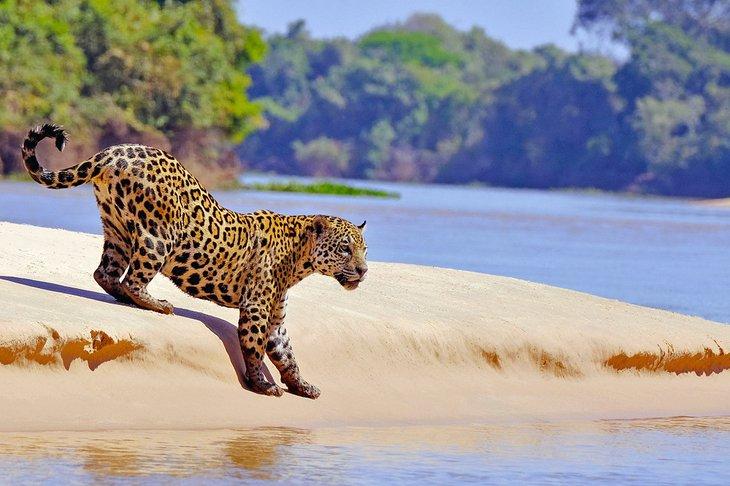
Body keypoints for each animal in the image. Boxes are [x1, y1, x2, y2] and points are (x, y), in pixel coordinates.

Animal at [21, 123, 369, 399]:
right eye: (346, 249)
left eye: (365, 250)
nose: (364, 271)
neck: (300, 258)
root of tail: (115, 150)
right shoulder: (256, 308)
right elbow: (254, 348)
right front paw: (262, 385)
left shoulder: (275, 319)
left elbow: (287, 355)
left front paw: (302, 385)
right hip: (157, 236)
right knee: (133, 279)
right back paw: (158, 304)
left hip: (116, 227)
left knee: (105, 273)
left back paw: (127, 296)